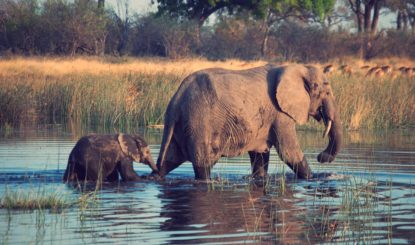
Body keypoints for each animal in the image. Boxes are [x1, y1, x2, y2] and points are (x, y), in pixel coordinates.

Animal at [156, 64, 342, 180]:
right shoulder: (280, 114)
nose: (321, 157)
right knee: (203, 167)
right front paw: (313, 178)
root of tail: (175, 101)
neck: (297, 68)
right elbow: (289, 153)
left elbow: (260, 154)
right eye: (326, 92)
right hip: (199, 122)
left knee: (167, 163)